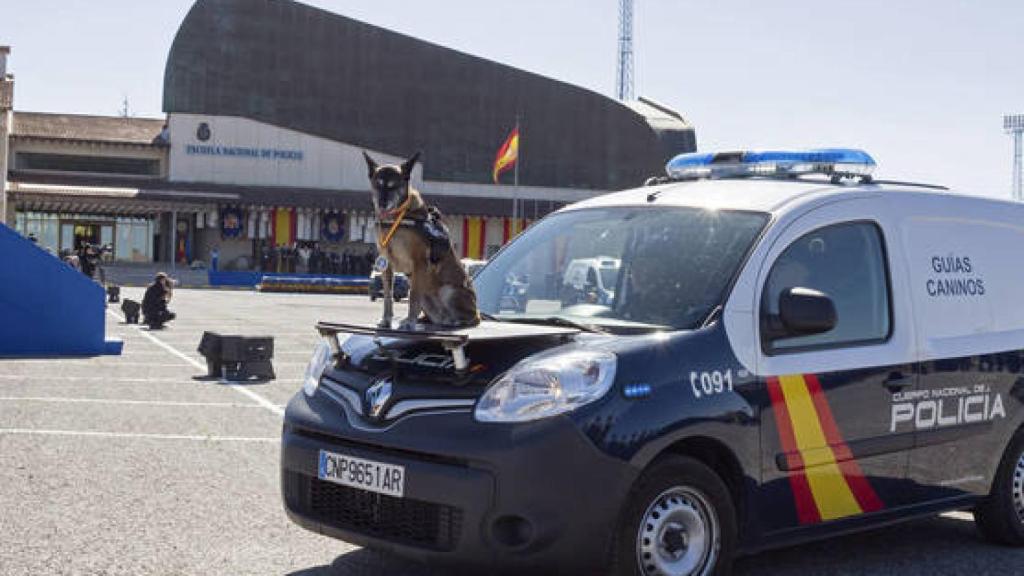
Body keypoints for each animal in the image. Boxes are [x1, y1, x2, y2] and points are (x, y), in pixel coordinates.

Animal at [366, 148, 481, 327]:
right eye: (378, 185)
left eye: (393, 186)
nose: (382, 203)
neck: (396, 218)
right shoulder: (386, 265)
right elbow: (387, 296)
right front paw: (387, 319)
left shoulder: (419, 262)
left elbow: (413, 295)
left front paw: (410, 322)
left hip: (449, 291)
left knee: (470, 318)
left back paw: (454, 321)